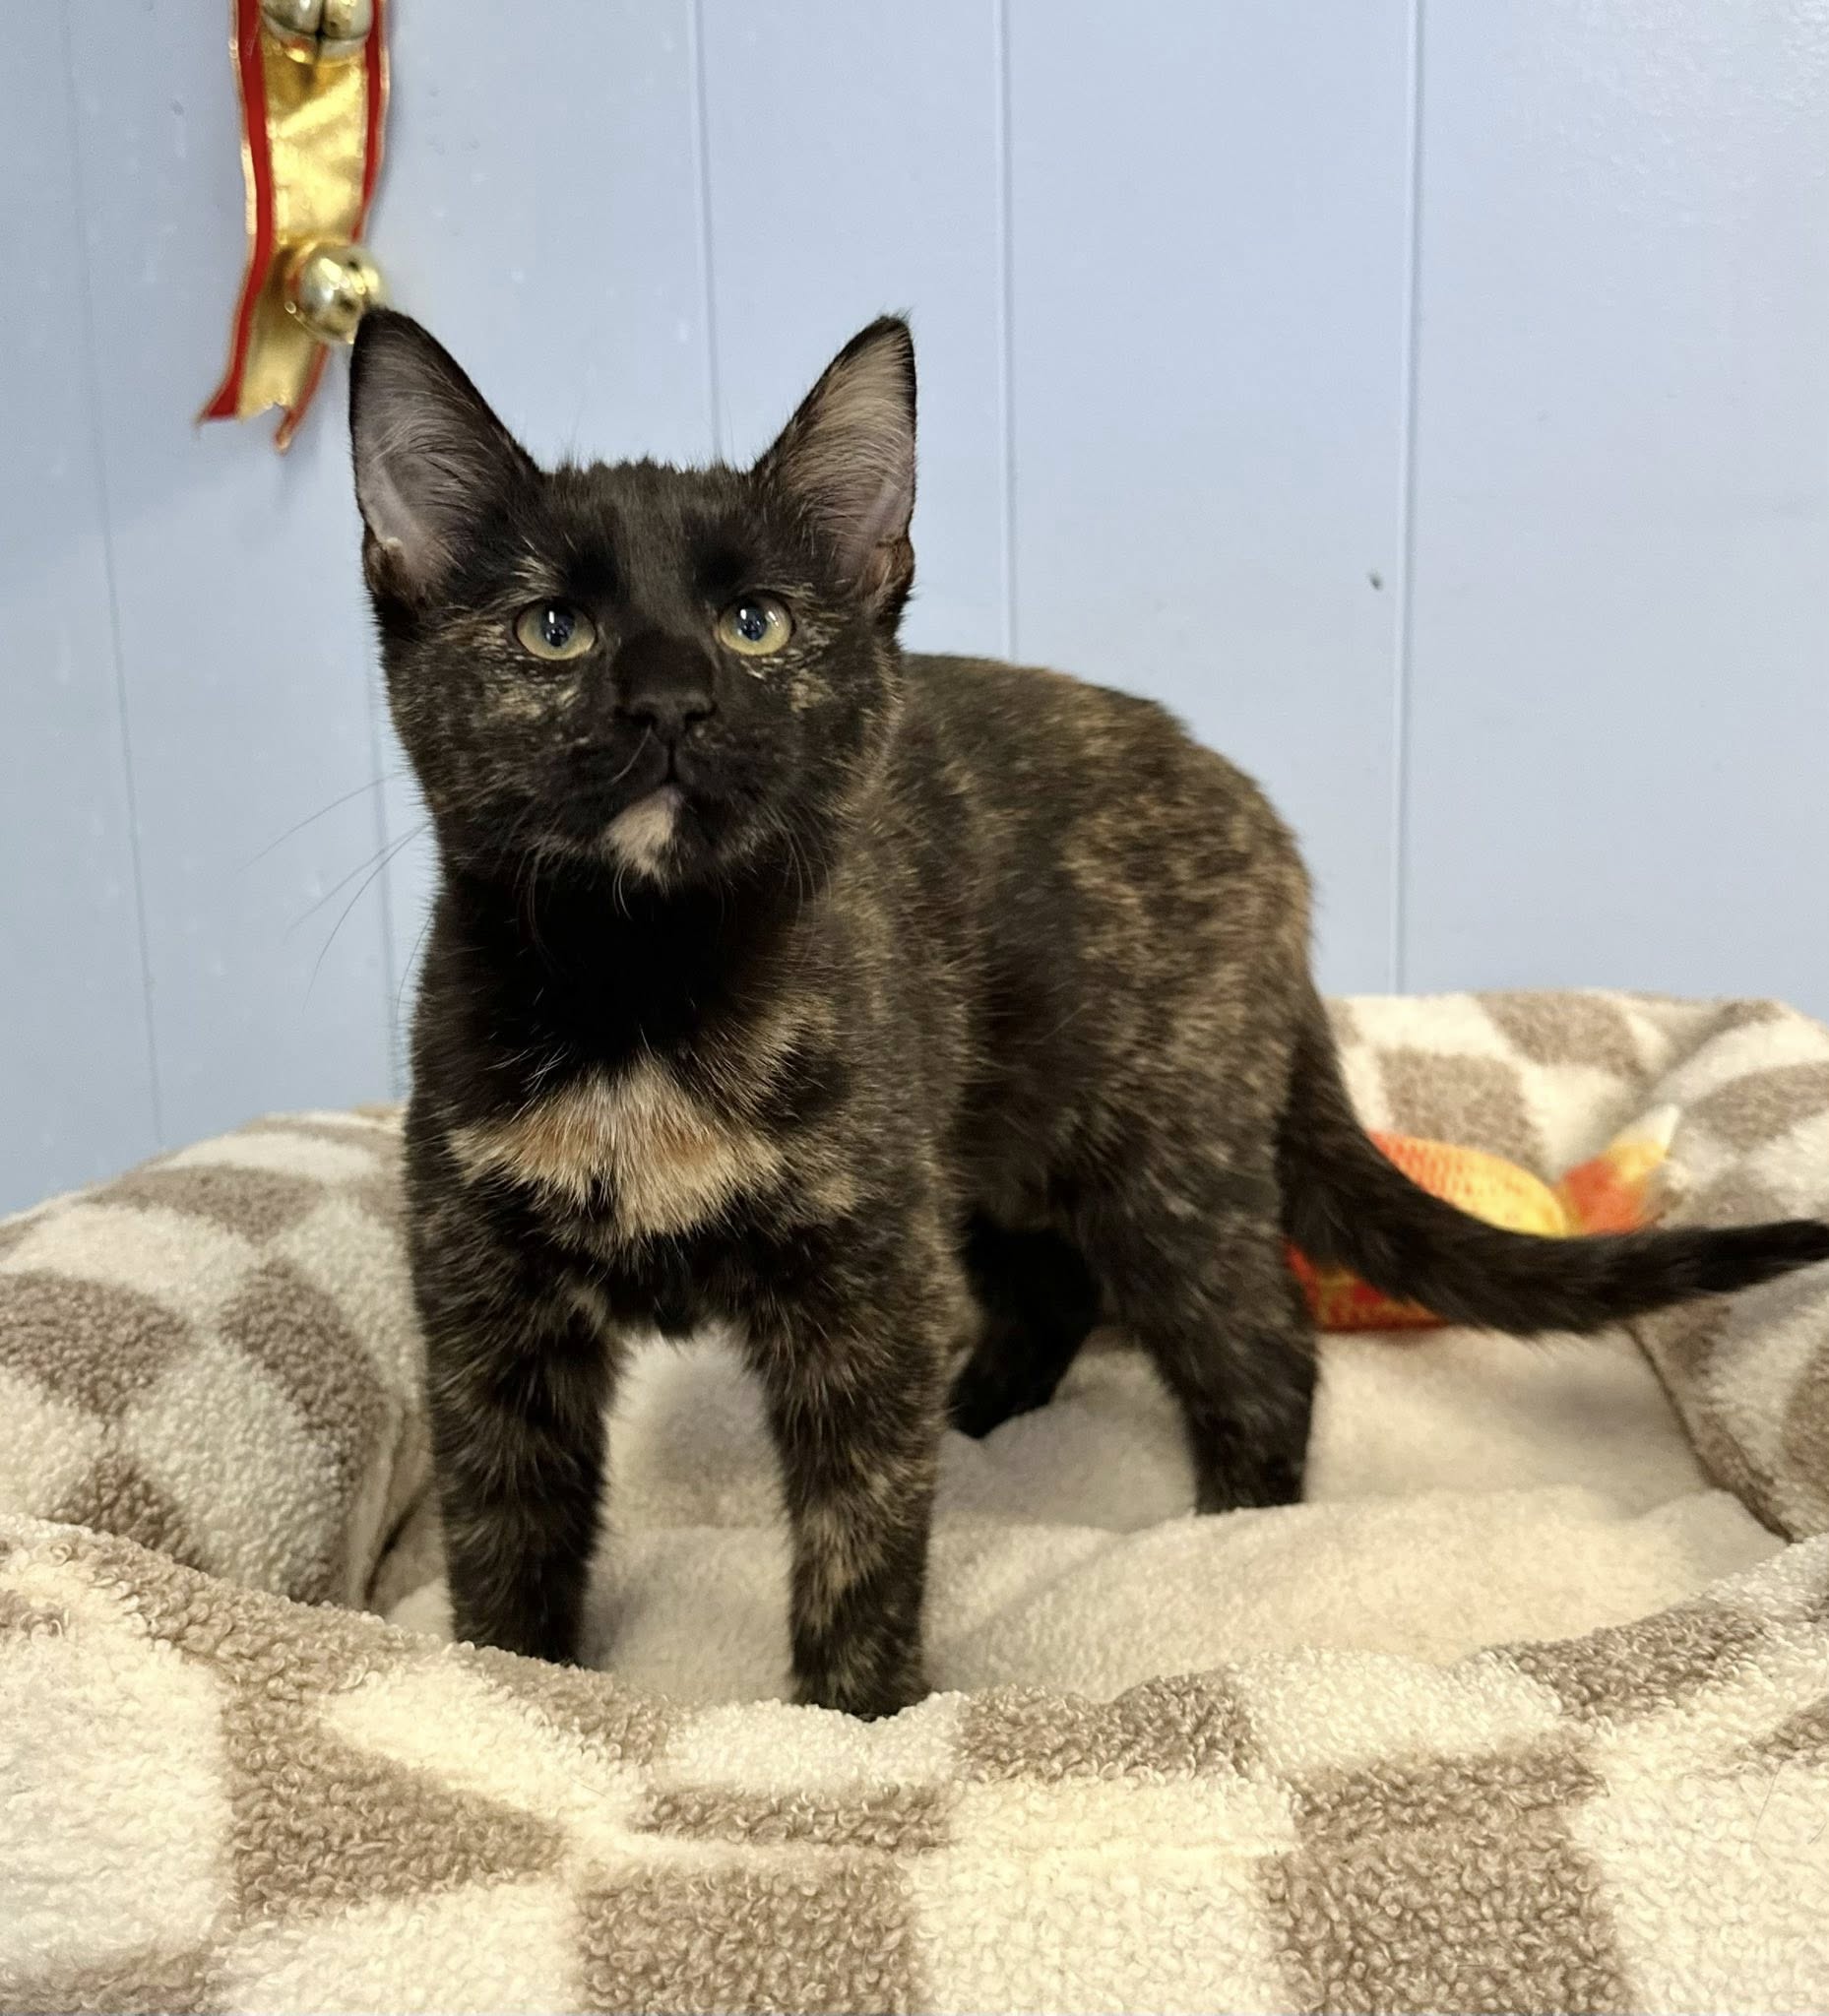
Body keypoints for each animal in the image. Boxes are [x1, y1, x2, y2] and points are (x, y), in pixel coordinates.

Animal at [348, 309, 1829, 1718]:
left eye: (754, 623)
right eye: (554, 629)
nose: (671, 698)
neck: (644, 988)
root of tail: (1261, 824)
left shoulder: (858, 1282)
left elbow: (855, 1535)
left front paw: (856, 1719)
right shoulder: (487, 1302)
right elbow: (506, 1531)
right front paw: (513, 1685)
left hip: (1157, 1158)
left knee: (1261, 1352)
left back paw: (1231, 1531)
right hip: (988, 1145)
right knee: (1051, 1286)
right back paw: (977, 1412)